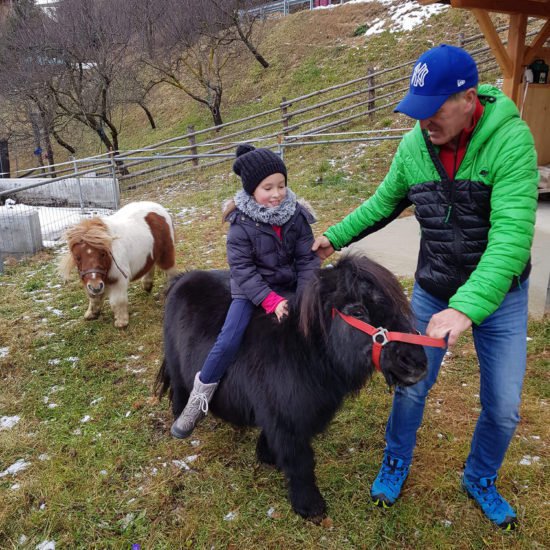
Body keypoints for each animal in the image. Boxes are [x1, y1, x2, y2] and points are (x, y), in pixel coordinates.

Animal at [157, 256, 430, 524]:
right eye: (358, 311)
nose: (416, 363)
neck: (304, 351)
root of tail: (182, 279)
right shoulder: (286, 421)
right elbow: (300, 462)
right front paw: (310, 506)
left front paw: (266, 455)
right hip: (178, 367)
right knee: (181, 391)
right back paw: (183, 422)